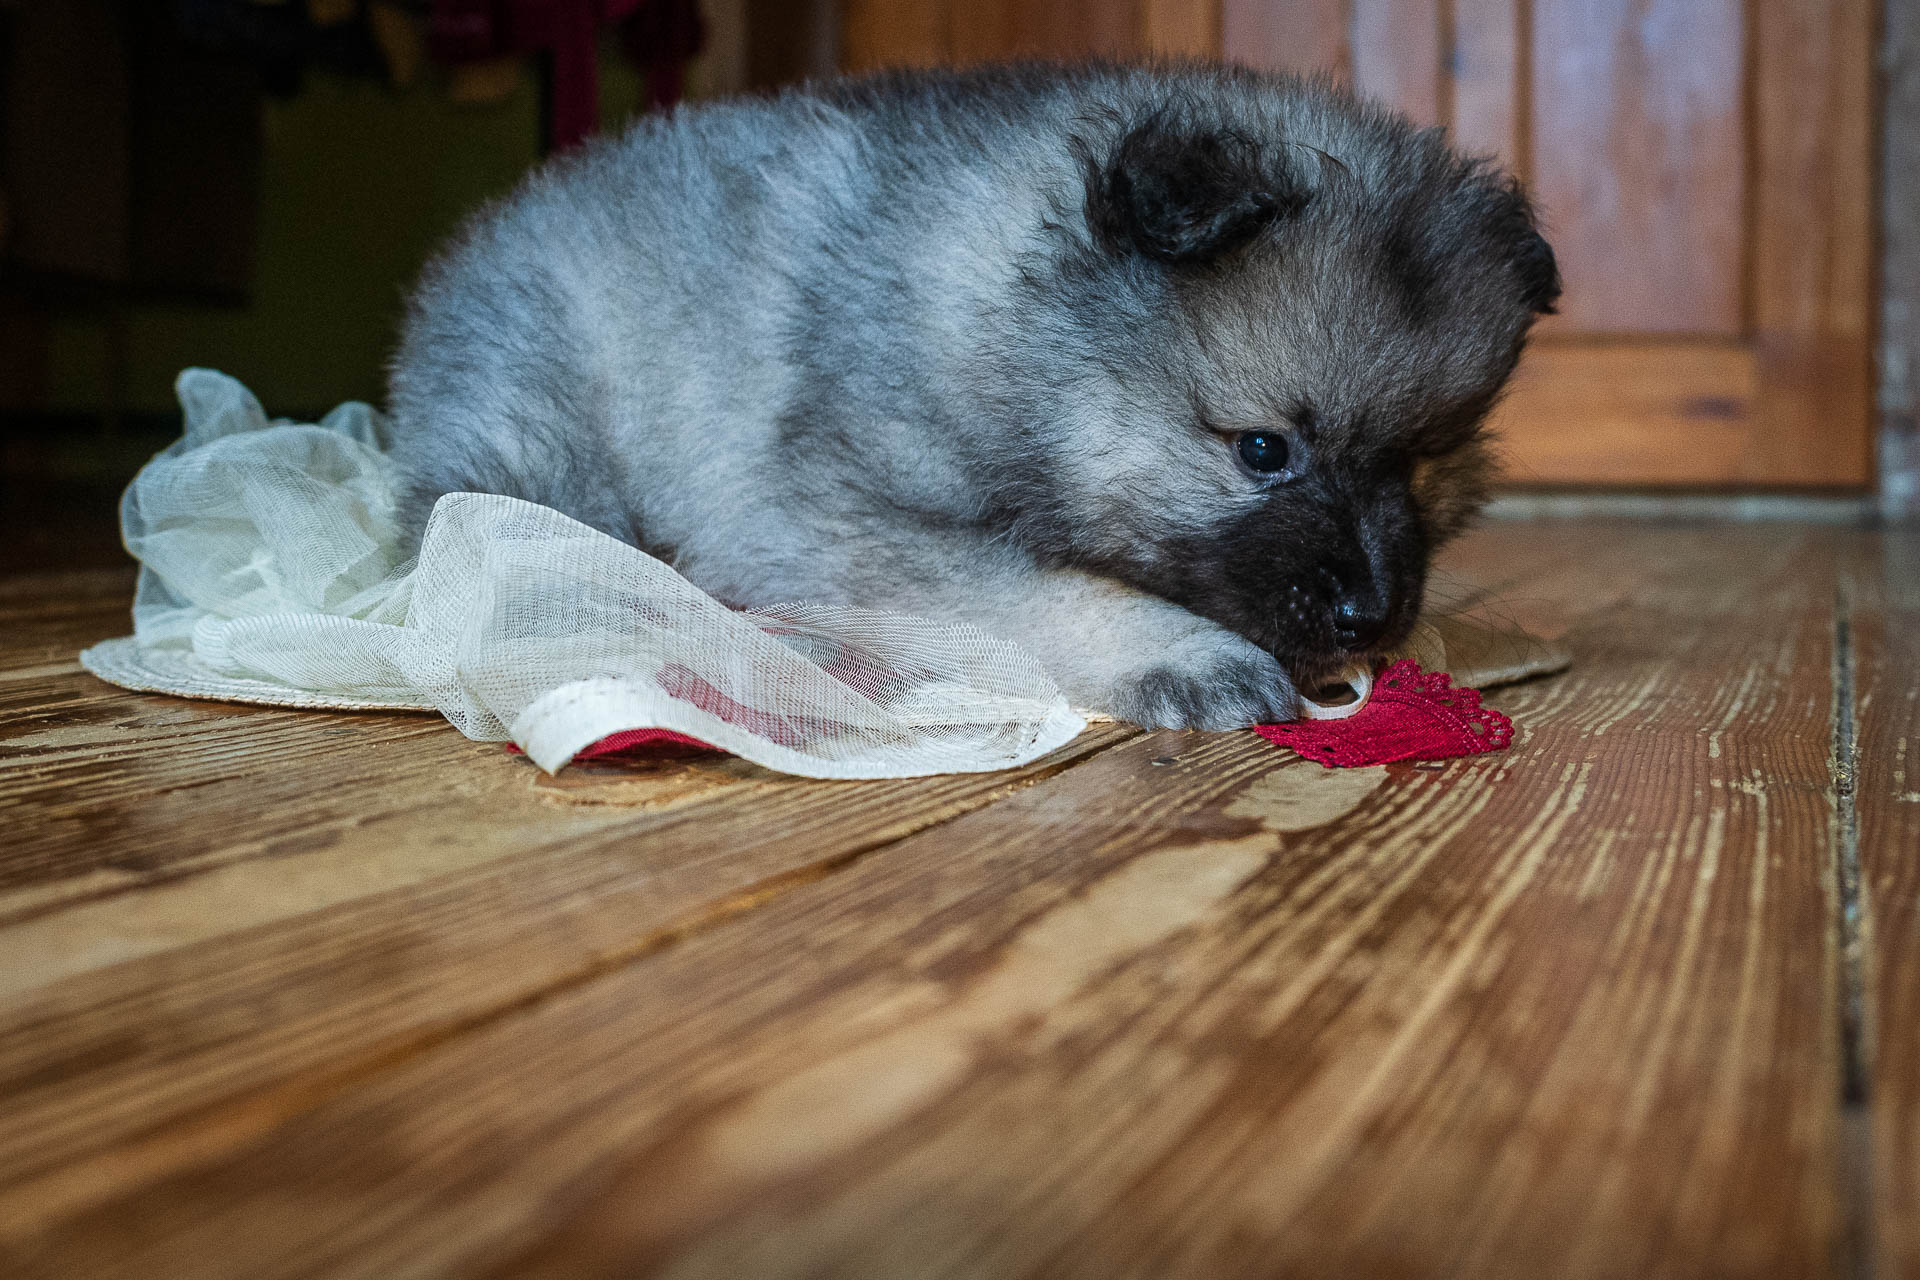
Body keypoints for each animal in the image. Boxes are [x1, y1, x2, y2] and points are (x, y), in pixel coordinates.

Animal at [389, 62, 1559, 729]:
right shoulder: (829, 515)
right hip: (543, 420)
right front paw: (1181, 652)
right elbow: (1035, 590)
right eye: (1262, 450)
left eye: (1426, 458)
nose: (1372, 613)